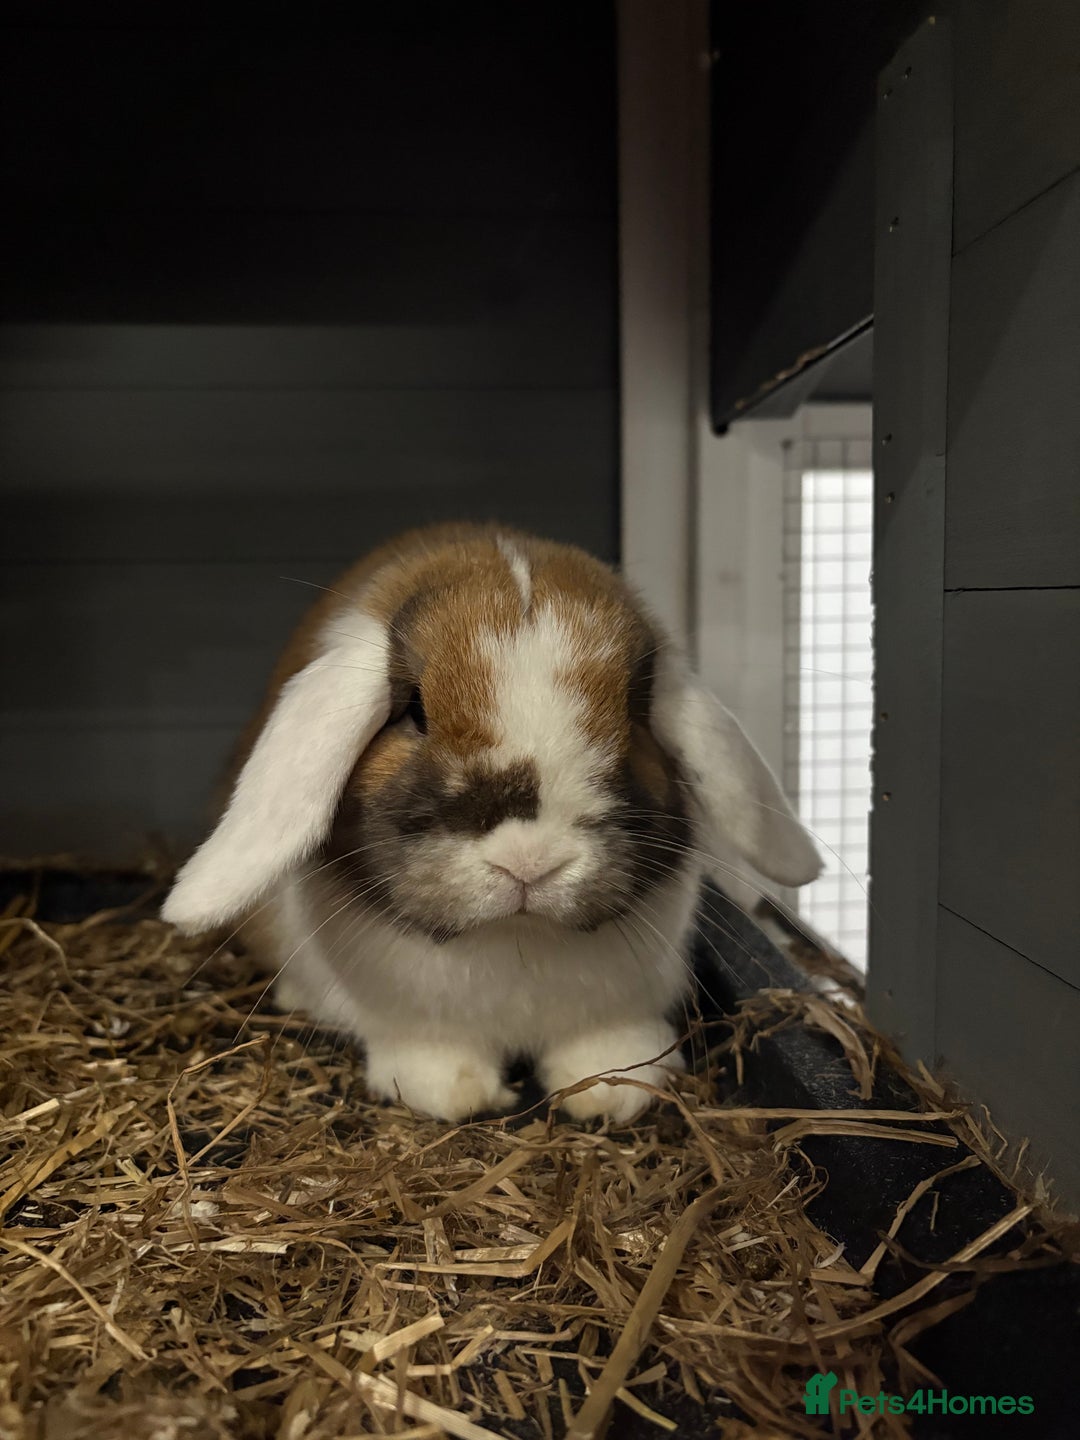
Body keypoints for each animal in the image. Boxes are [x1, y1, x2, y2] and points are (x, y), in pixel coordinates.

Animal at [162, 523, 821, 1123]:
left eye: (636, 709)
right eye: (415, 710)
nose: (529, 862)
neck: (516, 942)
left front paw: (616, 1091)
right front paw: (454, 1093)